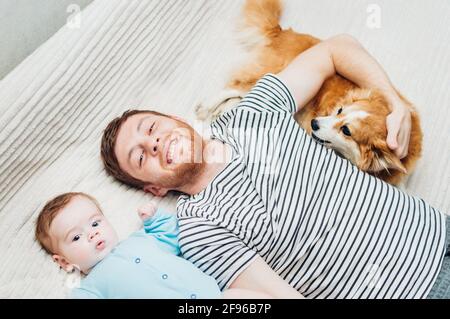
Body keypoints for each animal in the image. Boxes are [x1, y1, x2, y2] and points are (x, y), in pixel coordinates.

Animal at [197, 0, 422, 186]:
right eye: (339, 110)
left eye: (346, 130)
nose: (314, 122)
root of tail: (285, 32)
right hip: (271, 74)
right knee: (233, 86)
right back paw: (206, 108)